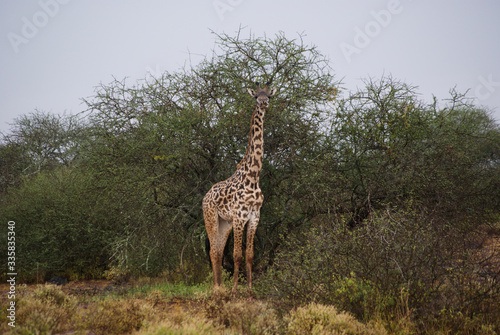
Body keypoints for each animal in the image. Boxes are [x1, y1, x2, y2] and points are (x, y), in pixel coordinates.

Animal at [201, 82, 276, 292]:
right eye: (256, 96)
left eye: (269, 95)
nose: (263, 103)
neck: (253, 176)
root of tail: (205, 196)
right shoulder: (240, 216)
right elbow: (237, 254)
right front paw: (235, 289)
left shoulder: (254, 216)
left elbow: (249, 254)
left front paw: (249, 289)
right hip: (210, 217)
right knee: (214, 252)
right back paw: (217, 288)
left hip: (224, 223)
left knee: (218, 251)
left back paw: (219, 286)